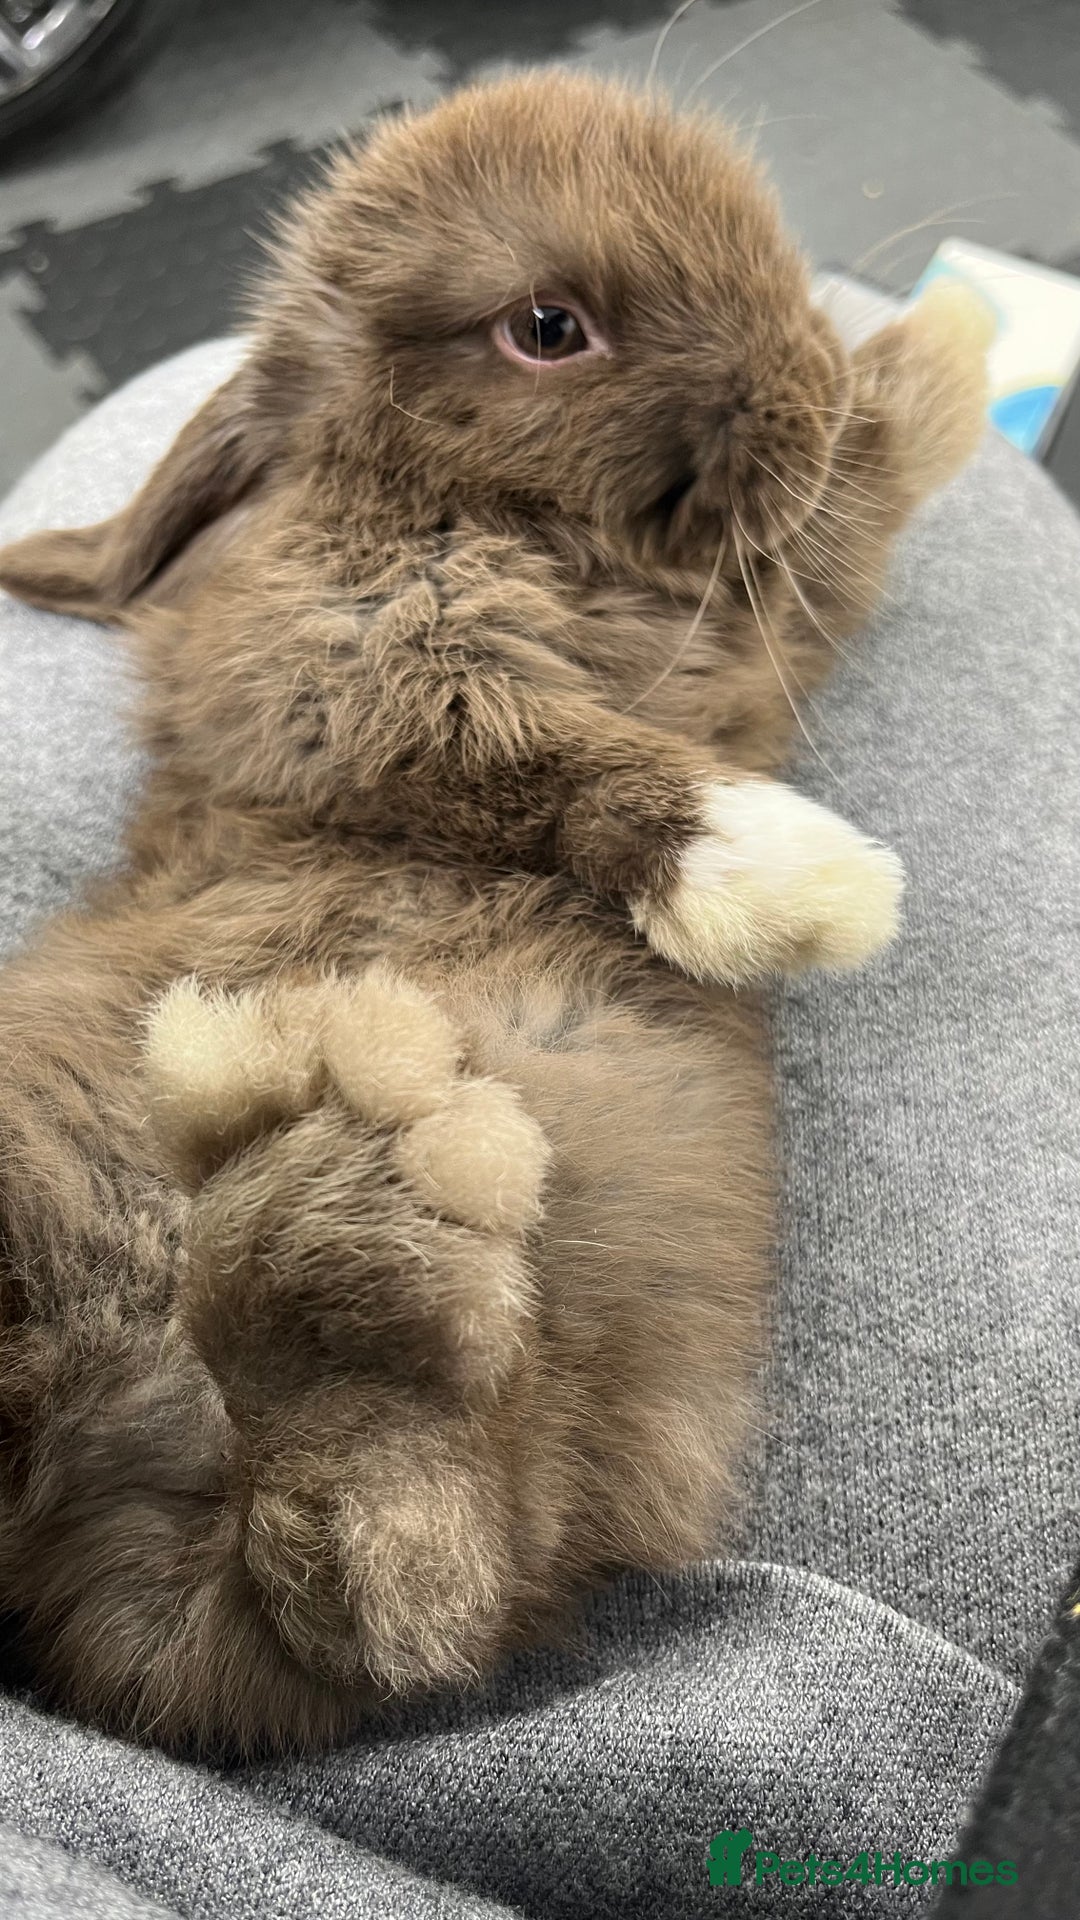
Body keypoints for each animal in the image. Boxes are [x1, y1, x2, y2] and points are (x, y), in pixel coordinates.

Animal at [0, 69, 991, 1757]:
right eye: (548, 326)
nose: (797, 372)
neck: (471, 496)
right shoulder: (356, 677)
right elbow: (543, 762)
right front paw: (796, 875)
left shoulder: (763, 587)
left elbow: (846, 500)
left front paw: (949, 340)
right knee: (375, 1583)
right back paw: (360, 1155)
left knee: (372, 1568)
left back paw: (327, 1178)